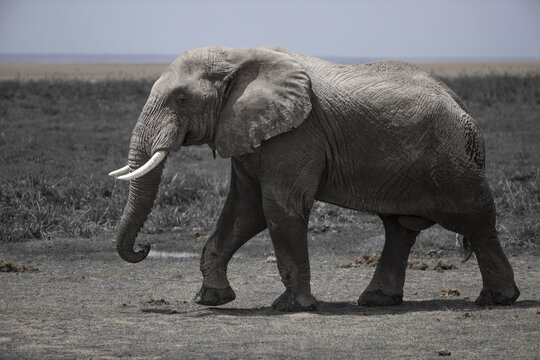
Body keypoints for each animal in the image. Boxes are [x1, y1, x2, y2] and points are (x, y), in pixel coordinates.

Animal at [108, 44, 520, 310]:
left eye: (180, 99)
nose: (144, 248)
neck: (237, 56)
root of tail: (461, 106)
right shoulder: (248, 133)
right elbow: (244, 210)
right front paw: (210, 299)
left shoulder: (297, 134)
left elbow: (278, 208)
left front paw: (291, 307)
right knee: (399, 228)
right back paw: (376, 301)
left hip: (451, 158)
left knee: (475, 219)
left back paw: (497, 300)